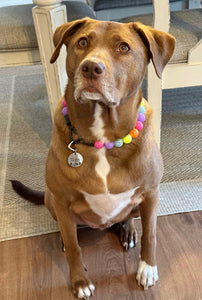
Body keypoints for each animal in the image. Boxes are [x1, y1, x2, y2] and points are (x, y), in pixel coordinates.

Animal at [11, 17, 175, 298]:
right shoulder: (63, 201)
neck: (103, 137)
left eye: (123, 47)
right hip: (51, 199)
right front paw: (80, 282)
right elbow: (75, 248)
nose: (90, 67)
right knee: (66, 231)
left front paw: (147, 268)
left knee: (129, 218)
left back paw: (128, 231)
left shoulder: (151, 193)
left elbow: (151, 235)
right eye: (83, 42)